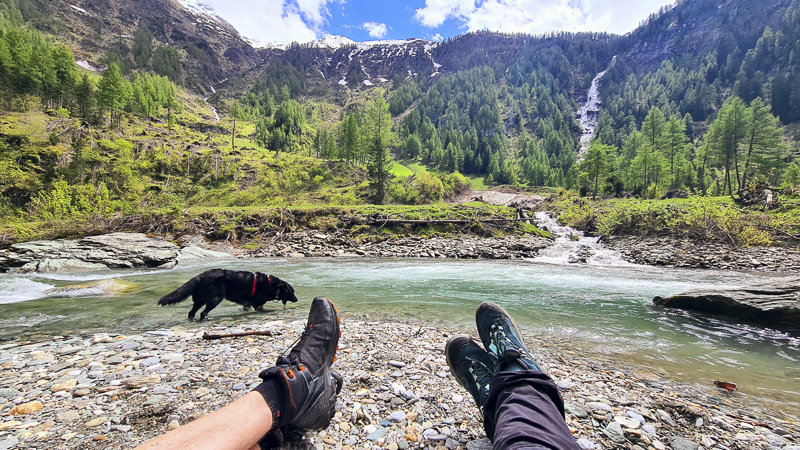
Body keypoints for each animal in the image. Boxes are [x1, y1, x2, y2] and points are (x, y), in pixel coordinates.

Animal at [159, 268, 300, 320]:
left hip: (199, 300)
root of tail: (201, 275)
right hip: (215, 299)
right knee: (203, 313)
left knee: (191, 312)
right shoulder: (257, 303)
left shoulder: (248, 304)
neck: (272, 285)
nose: (297, 299)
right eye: (292, 292)